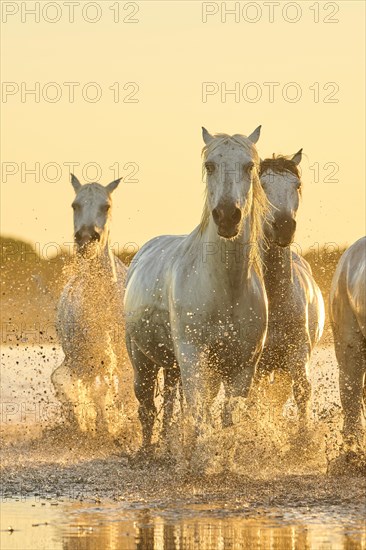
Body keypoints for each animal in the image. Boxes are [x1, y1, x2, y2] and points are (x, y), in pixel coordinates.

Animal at [50, 175, 126, 434]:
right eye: (75, 205)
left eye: (106, 206)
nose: (85, 238)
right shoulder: (87, 357)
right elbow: (95, 393)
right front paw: (99, 427)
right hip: (81, 359)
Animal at [124, 127, 270, 450]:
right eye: (210, 165)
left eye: (249, 166)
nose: (227, 215)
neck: (226, 289)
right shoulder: (193, 357)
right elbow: (200, 415)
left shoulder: (243, 367)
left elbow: (228, 419)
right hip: (142, 360)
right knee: (147, 408)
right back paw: (147, 450)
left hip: (172, 364)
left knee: (167, 404)